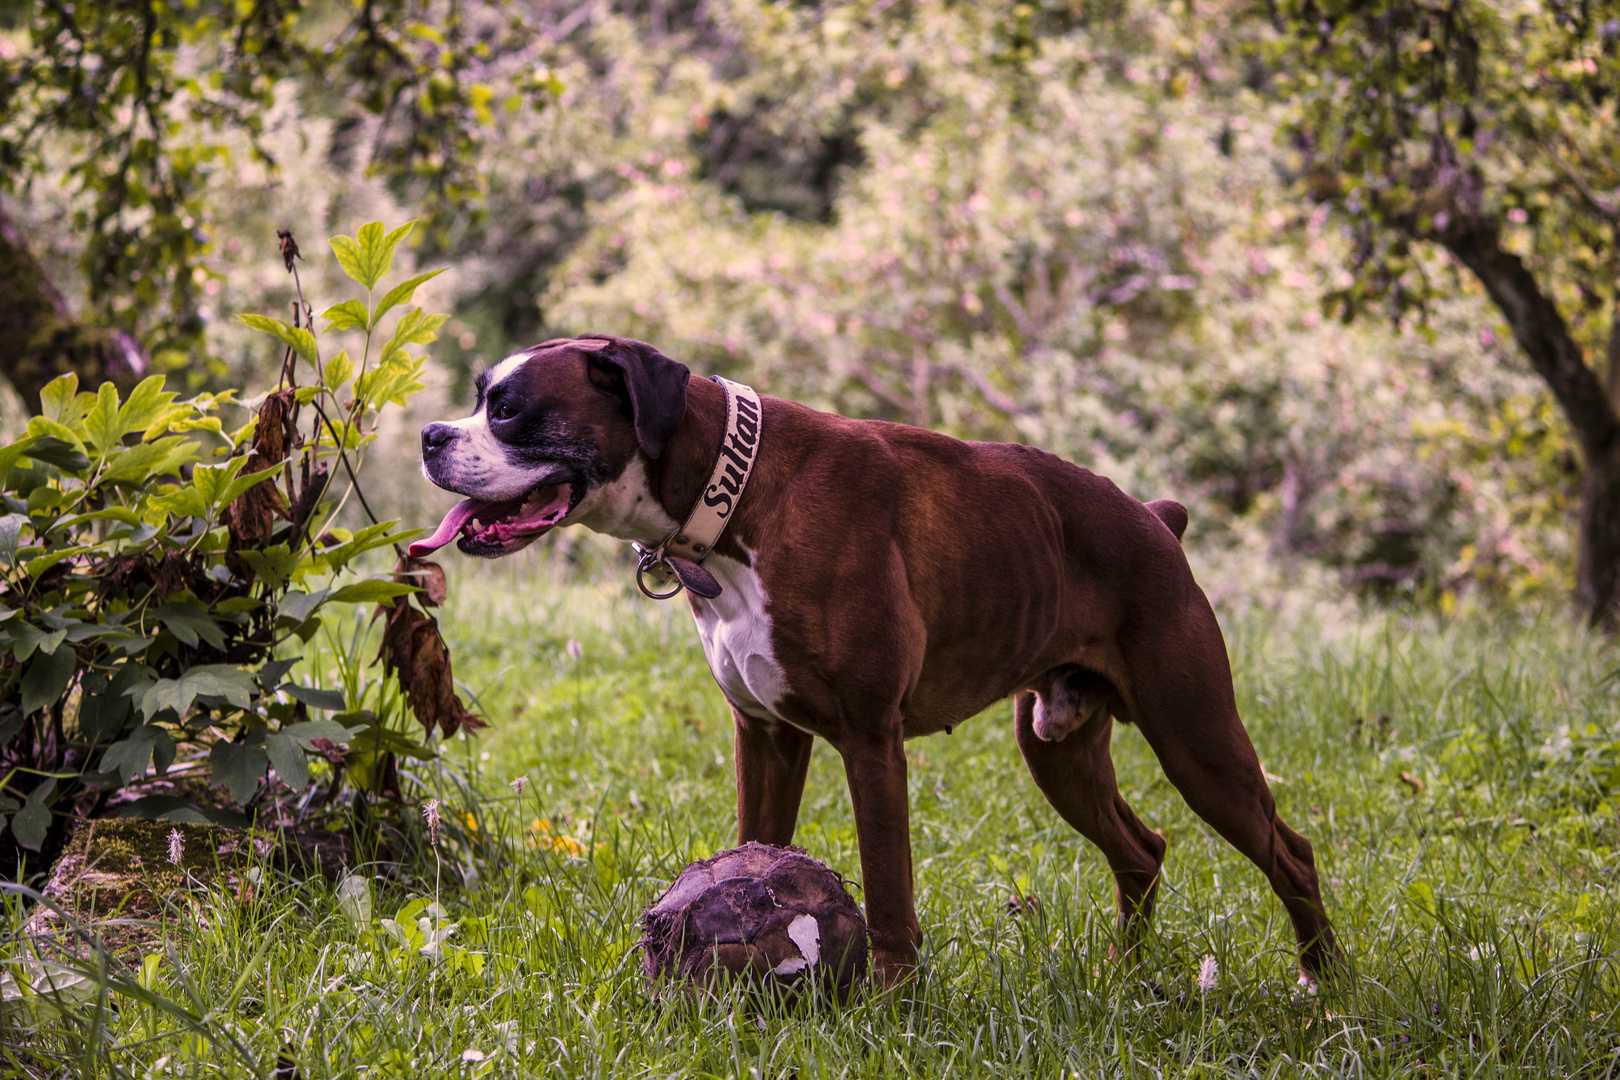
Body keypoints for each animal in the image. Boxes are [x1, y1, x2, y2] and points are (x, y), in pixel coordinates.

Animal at [414, 338, 1341, 990]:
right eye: (479, 399)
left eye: (511, 410)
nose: (429, 434)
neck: (734, 497)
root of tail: (1155, 516)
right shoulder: (766, 735)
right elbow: (756, 848)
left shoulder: (869, 738)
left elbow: (888, 884)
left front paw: (891, 1001)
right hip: (1058, 749)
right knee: (1141, 849)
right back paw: (1129, 975)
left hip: (1197, 741)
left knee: (1289, 853)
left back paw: (1323, 985)